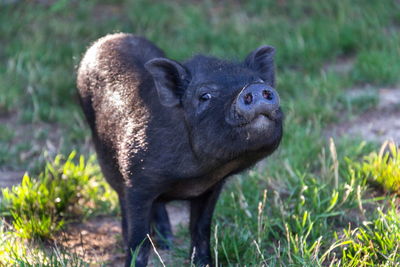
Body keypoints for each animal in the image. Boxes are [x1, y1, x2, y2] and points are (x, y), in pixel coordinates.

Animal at [76, 34, 282, 267]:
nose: (253, 88)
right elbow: (138, 239)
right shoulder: (136, 183)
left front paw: (203, 263)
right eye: (204, 95)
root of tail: (109, 38)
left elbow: (200, 229)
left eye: (261, 81)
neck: (192, 177)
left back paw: (168, 242)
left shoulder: (211, 188)